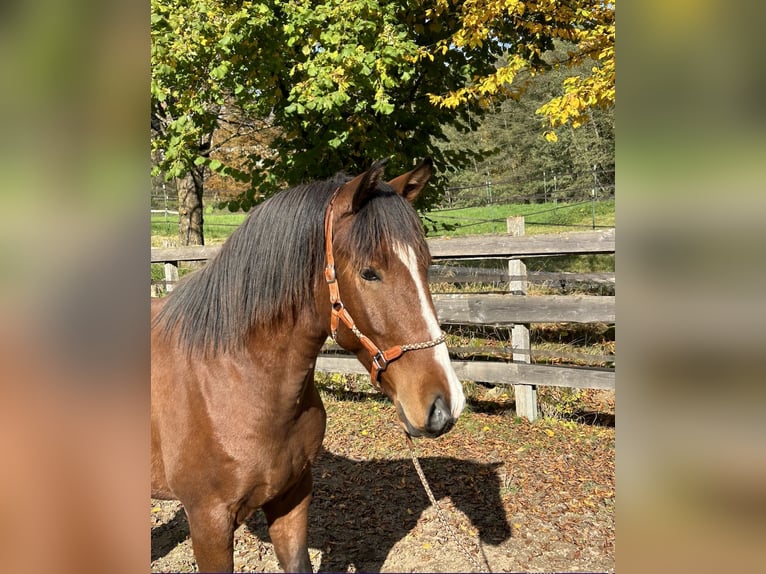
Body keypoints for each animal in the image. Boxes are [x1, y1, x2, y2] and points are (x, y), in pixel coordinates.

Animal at [148, 158, 462, 572]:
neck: (232, 378)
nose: (445, 405)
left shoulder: (292, 497)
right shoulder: (208, 521)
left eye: (426, 265)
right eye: (369, 272)